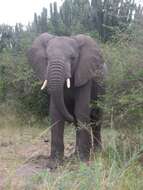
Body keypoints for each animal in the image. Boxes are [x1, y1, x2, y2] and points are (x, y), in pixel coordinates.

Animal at [27, 33, 106, 168]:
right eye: (47, 58)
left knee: (96, 119)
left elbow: (81, 111)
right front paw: (53, 165)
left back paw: (96, 153)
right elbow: (55, 113)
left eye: (73, 58)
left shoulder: (85, 75)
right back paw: (75, 155)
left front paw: (82, 162)